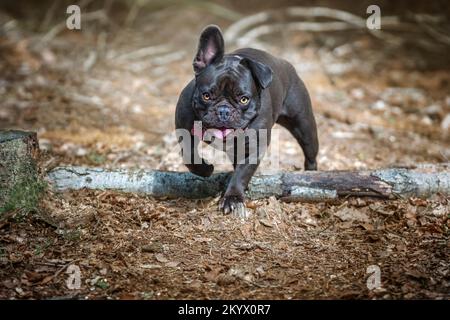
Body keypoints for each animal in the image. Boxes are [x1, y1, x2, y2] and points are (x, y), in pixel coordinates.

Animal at [174, 24, 318, 215]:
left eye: (244, 99)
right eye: (206, 96)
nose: (224, 111)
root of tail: (285, 64)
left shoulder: (253, 148)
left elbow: (242, 172)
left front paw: (233, 198)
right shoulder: (183, 129)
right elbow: (189, 155)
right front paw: (206, 169)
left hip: (304, 127)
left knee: (310, 152)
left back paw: (312, 174)